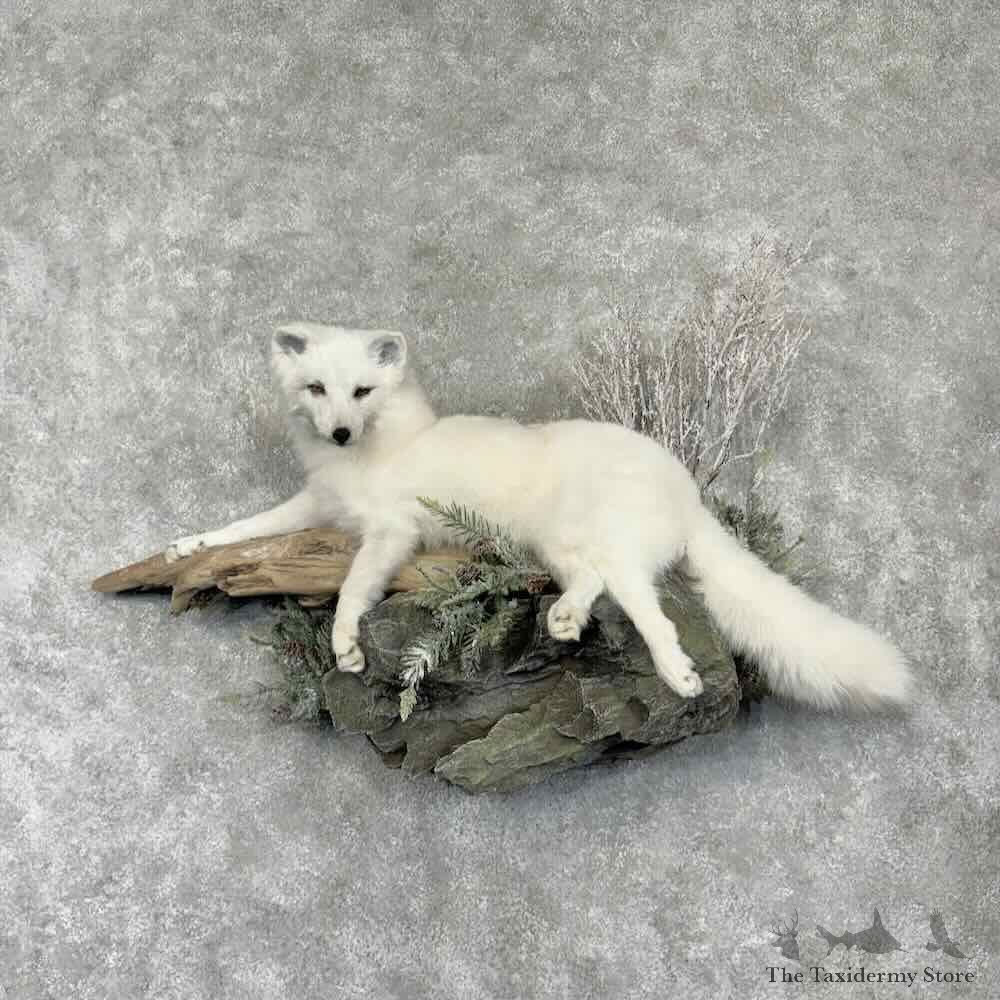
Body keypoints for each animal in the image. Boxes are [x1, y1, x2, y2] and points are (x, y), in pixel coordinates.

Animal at [166, 322, 911, 708]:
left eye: (363, 391)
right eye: (318, 389)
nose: (342, 432)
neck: (378, 452)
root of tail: (688, 491)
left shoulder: (392, 530)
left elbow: (351, 587)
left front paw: (346, 643)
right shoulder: (318, 505)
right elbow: (245, 531)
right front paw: (186, 546)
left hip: (606, 542)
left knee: (648, 607)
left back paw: (677, 673)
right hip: (560, 546)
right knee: (596, 584)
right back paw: (566, 619)